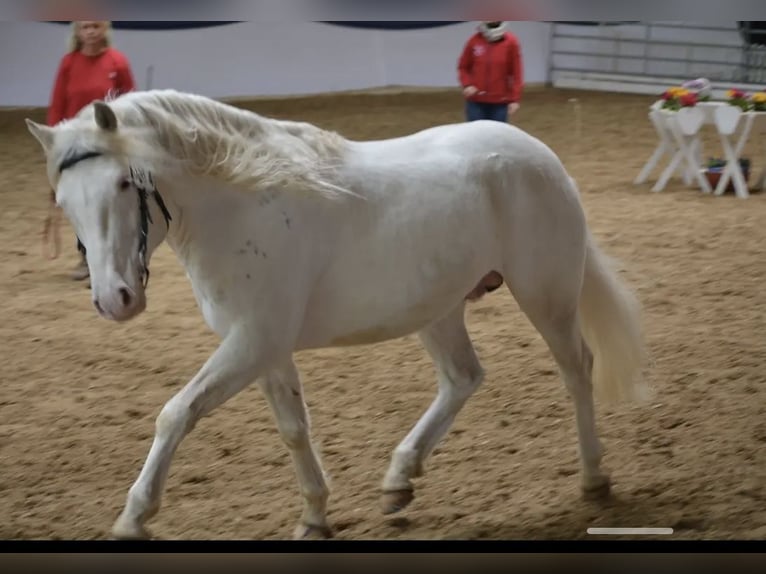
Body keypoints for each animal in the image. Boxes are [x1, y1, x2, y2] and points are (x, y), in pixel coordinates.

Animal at [25, 89, 648, 540]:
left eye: (123, 182)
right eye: (63, 200)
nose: (114, 300)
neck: (240, 203)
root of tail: (540, 154)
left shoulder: (252, 342)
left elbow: (175, 414)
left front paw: (134, 518)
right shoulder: (265, 348)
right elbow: (294, 428)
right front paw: (314, 518)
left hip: (546, 293)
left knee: (576, 369)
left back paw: (594, 479)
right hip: (438, 307)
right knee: (463, 378)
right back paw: (399, 480)